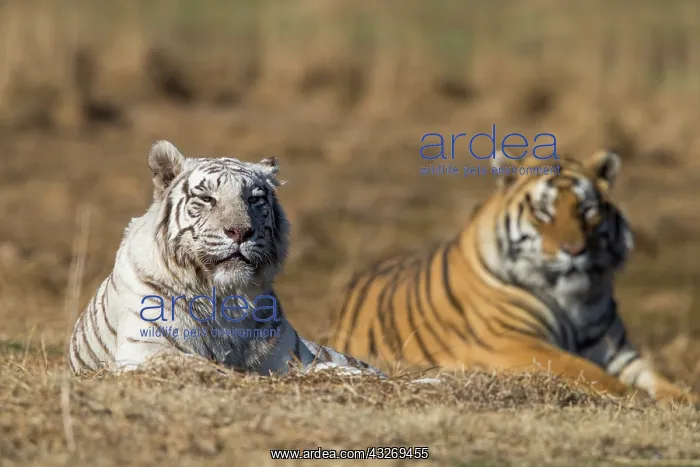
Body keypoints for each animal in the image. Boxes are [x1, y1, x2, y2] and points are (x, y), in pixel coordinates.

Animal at [68, 140, 384, 378]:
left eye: (254, 199)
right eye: (208, 198)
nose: (240, 231)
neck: (226, 300)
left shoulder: (288, 355)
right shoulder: (145, 348)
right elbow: (199, 363)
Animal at [329, 149, 700, 406]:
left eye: (587, 210)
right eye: (543, 212)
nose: (575, 251)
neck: (575, 302)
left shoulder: (621, 355)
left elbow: (661, 380)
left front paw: (684, 400)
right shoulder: (509, 341)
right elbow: (578, 366)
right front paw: (632, 396)